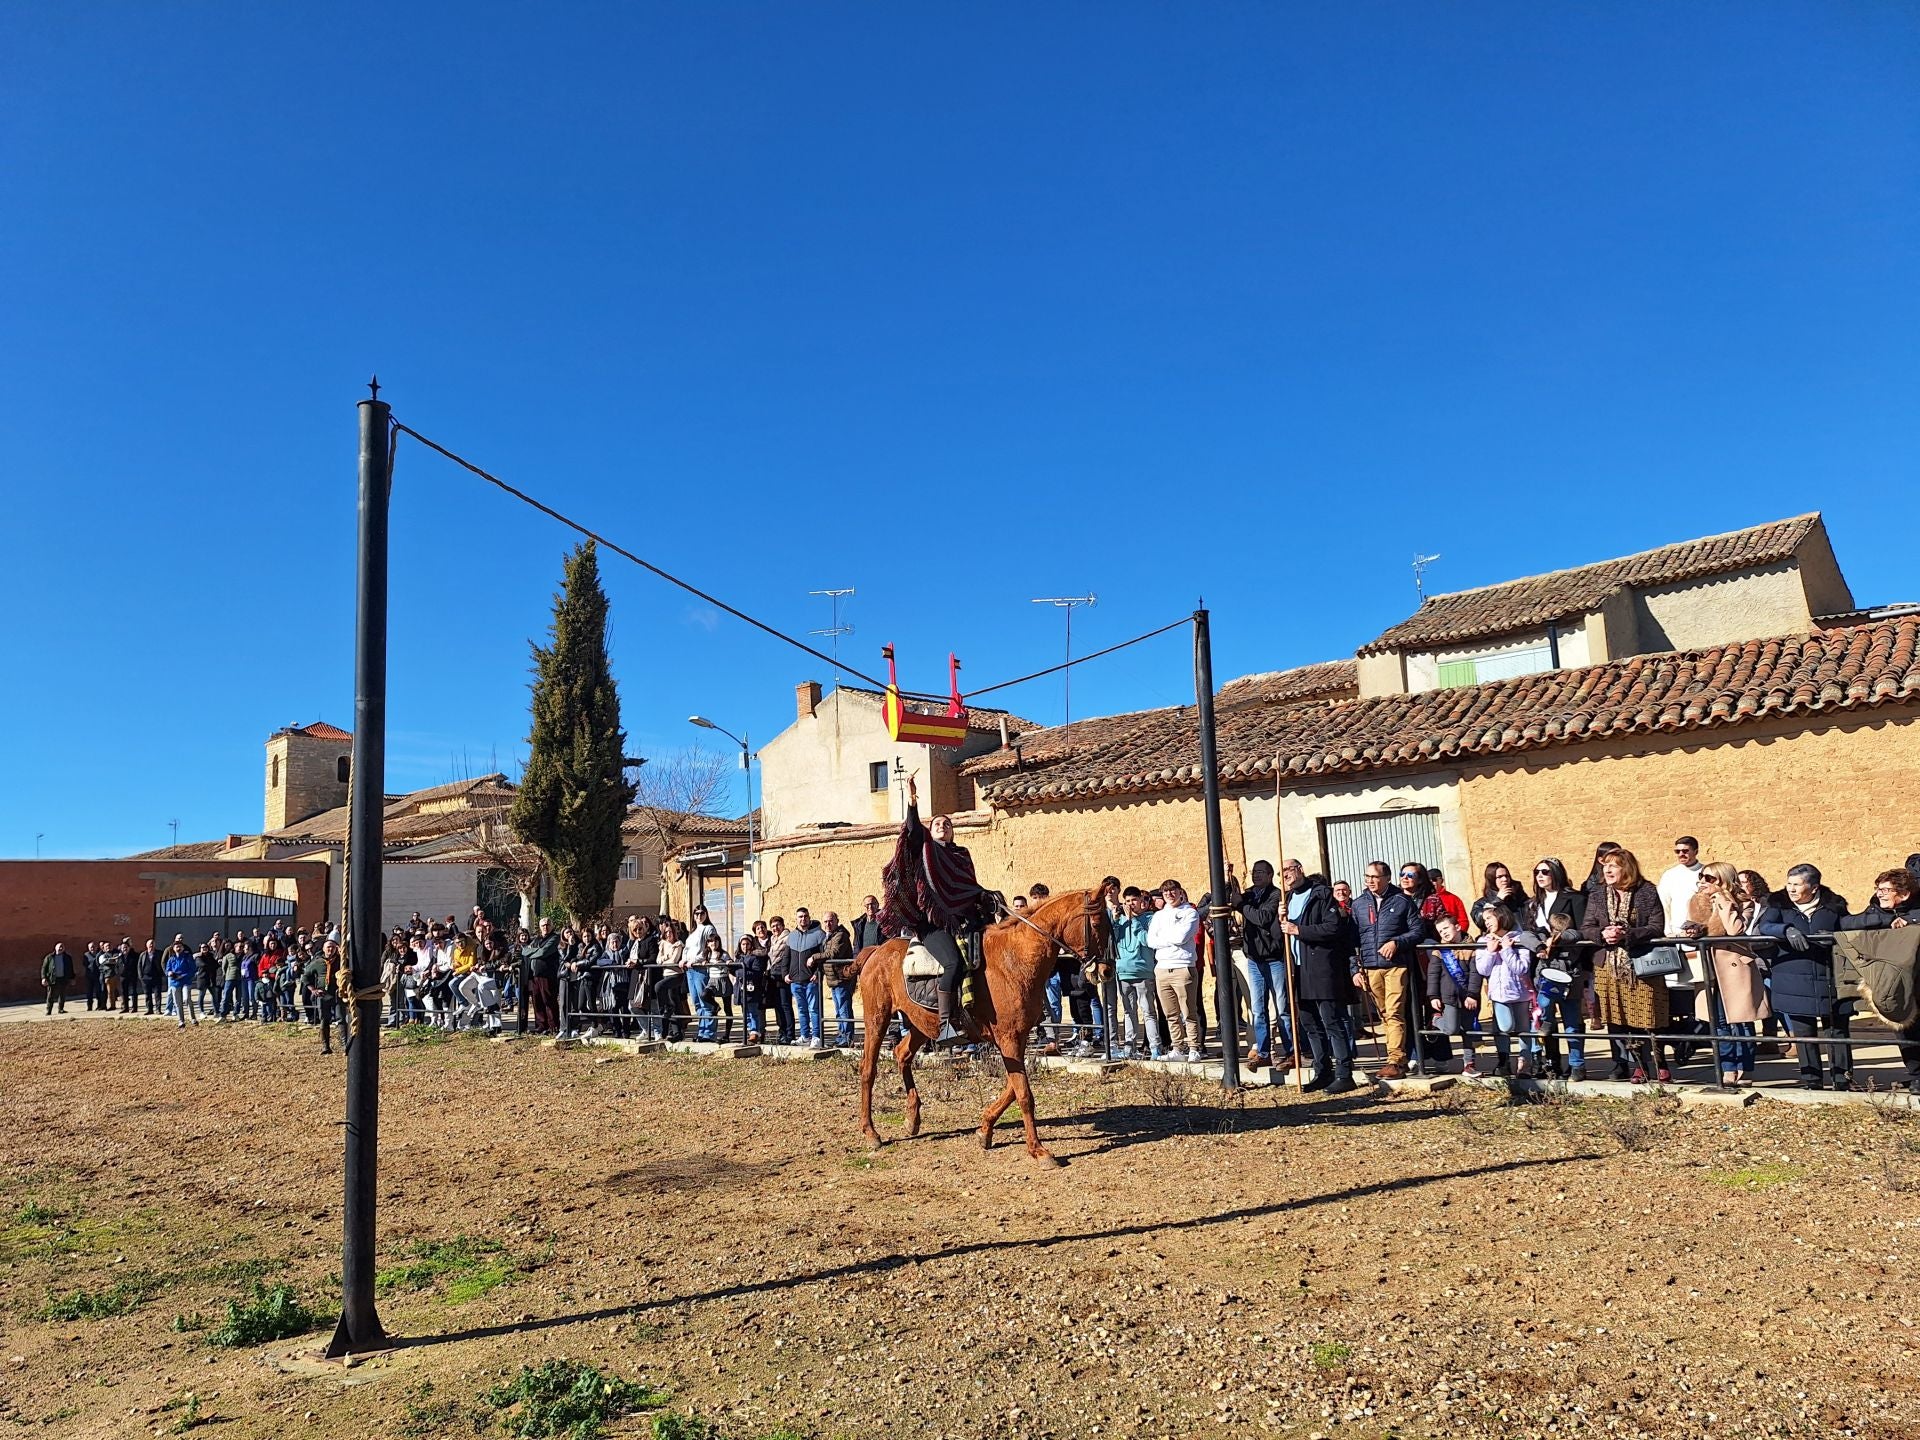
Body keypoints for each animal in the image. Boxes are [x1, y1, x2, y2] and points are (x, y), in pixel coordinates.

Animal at [844, 887, 1113, 1167]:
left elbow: (1014, 1087)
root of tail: (876, 951)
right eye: (1096, 923)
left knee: (902, 1054)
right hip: (877, 1018)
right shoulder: (1009, 1039)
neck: (1016, 959)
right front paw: (1038, 1150)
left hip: (921, 1024)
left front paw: (985, 1130)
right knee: (868, 1069)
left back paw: (912, 1119)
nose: (1106, 971)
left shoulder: (1016, 1039)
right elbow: (1023, 1093)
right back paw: (871, 1132)